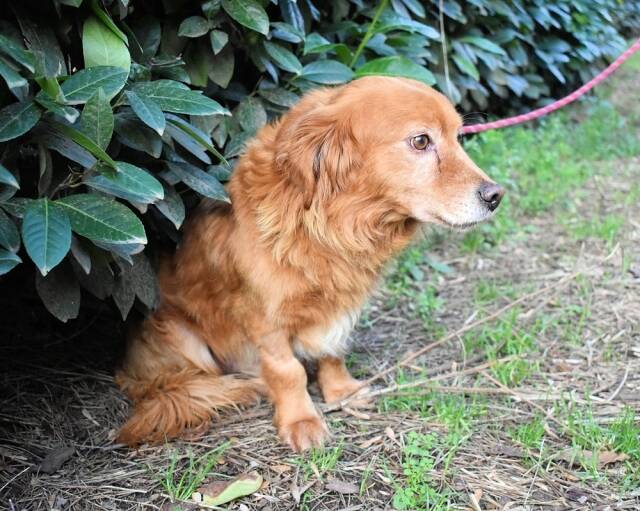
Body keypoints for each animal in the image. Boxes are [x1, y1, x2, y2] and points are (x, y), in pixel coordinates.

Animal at [116, 76, 504, 451]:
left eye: (458, 137)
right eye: (421, 141)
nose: (495, 195)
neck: (331, 226)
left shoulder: (341, 305)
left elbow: (333, 351)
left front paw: (340, 390)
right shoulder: (266, 320)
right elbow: (288, 371)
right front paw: (300, 420)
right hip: (179, 335)